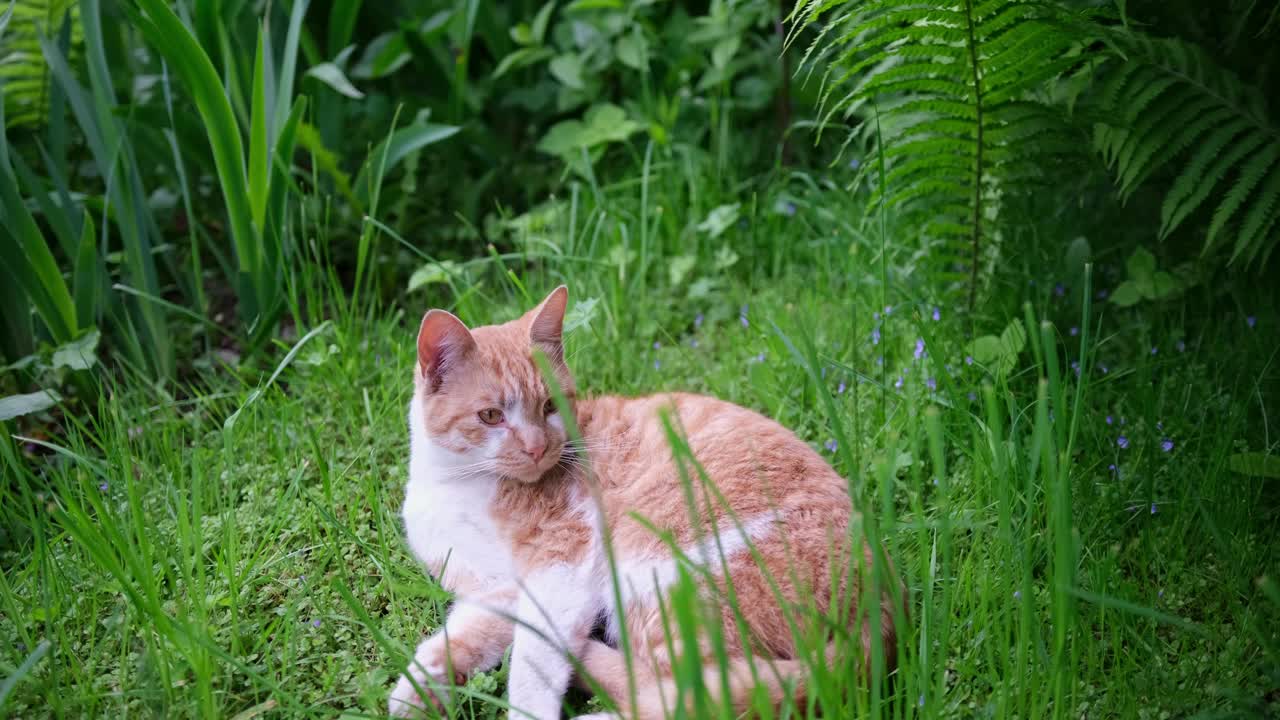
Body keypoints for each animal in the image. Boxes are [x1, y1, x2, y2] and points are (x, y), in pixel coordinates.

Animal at [389, 285, 901, 717]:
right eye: (491, 416)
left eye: (551, 406)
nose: (537, 448)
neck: (461, 485)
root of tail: (876, 621)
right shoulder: (487, 587)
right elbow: (464, 635)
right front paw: (419, 688)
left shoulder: (563, 563)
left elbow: (533, 661)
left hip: (653, 569)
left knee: (686, 693)